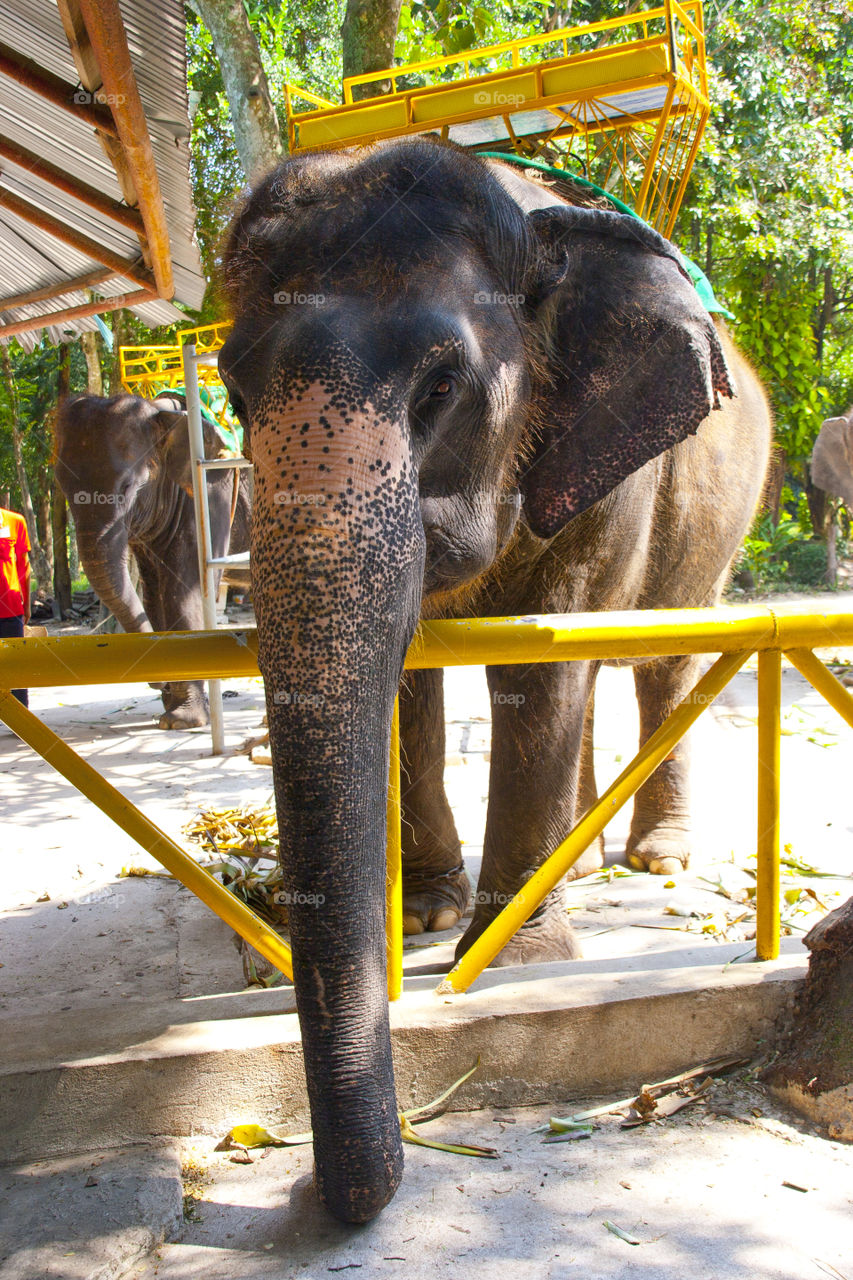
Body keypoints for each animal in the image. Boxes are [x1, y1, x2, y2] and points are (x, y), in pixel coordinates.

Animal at [54, 389, 249, 732]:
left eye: (129, 487)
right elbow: (154, 594)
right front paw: (171, 712)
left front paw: (183, 721)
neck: (162, 414)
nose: (159, 683)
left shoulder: (212, 488)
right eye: (61, 485)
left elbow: (183, 591)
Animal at [213, 137, 768, 1218]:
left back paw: (655, 862)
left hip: (719, 518)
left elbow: (534, 664)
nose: (329, 1194)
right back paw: (583, 863)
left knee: (655, 659)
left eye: (440, 386)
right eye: (235, 394)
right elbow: (412, 683)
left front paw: (512, 961)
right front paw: (427, 913)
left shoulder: (602, 466)